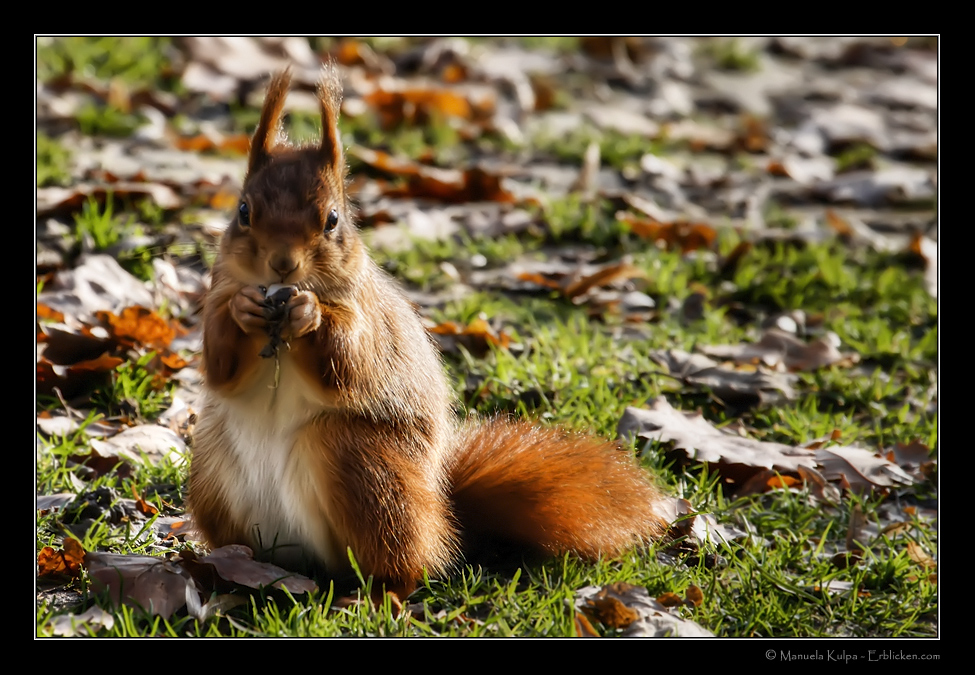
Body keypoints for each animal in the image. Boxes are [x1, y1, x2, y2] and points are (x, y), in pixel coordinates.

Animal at [187, 66, 668, 600]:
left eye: (333, 220)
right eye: (243, 211)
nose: (282, 263)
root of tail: (442, 515)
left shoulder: (366, 317)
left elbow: (348, 362)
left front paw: (311, 314)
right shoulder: (219, 291)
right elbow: (220, 364)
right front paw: (243, 311)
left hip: (363, 469)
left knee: (403, 563)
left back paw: (377, 594)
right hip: (211, 472)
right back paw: (233, 572)